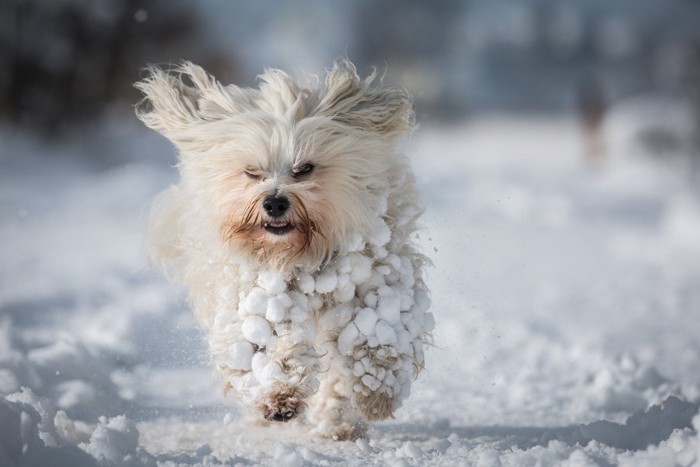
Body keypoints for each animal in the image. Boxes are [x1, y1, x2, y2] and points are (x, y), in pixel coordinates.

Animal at [134, 60, 434, 440]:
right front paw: (279, 397)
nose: (275, 202)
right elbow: (270, 340)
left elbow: (377, 331)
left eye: (304, 168)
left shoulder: (375, 275)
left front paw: (375, 389)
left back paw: (337, 421)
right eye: (252, 172)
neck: (301, 252)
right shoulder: (259, 288)